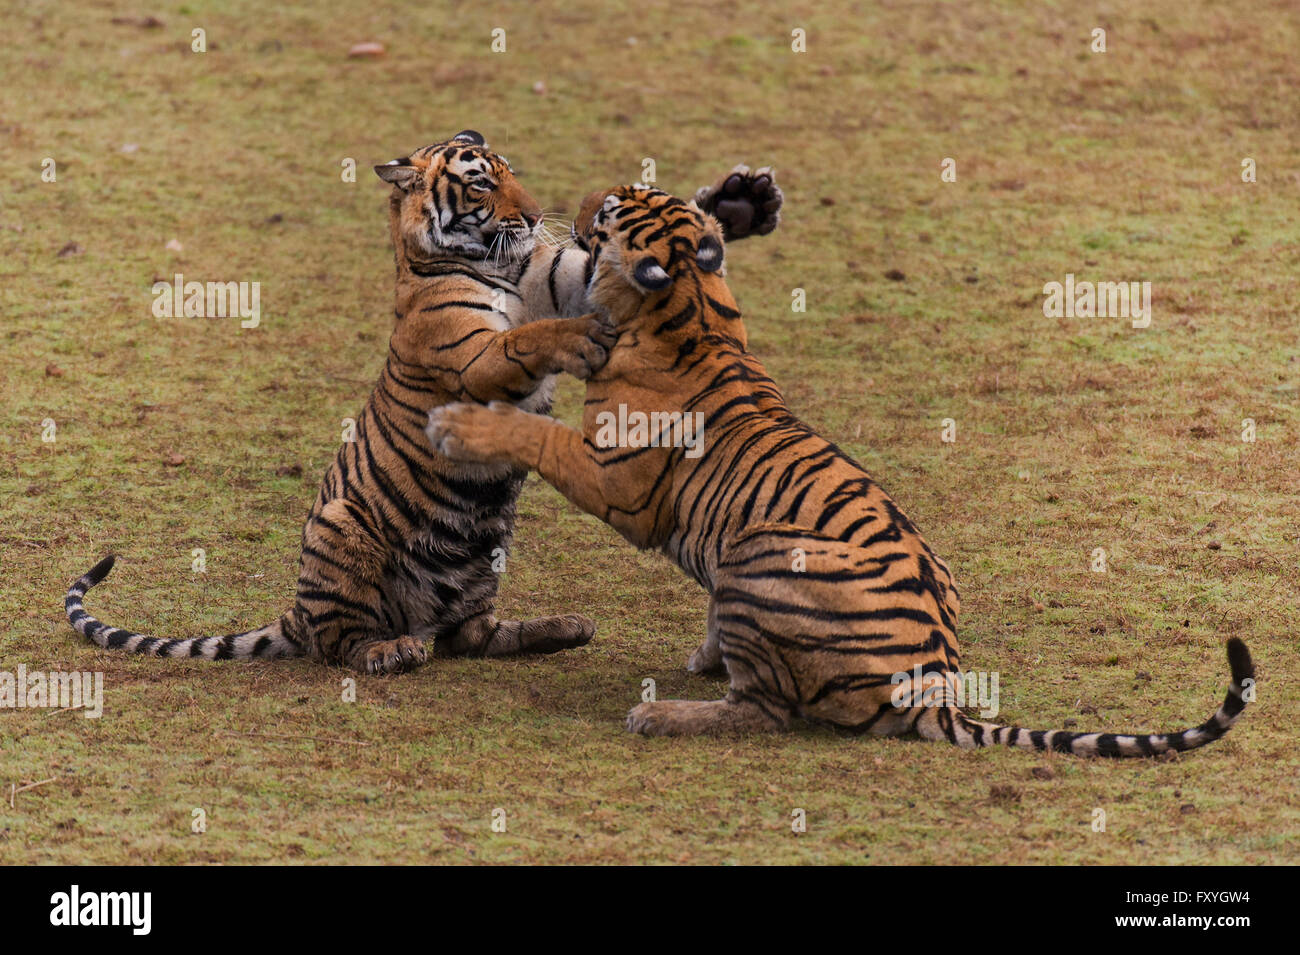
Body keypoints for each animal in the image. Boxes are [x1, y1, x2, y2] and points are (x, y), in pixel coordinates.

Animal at [65, 132, 780, 670]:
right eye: (483, 185)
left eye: (514, 175)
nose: (534, 214)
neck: (501, 265)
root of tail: (294, 612)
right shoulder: (471, 359)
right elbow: (524, 338)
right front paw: (581, 337)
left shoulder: (565, 277)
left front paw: (742, 203)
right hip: (340, 531)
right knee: (340, 643)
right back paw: (391, 651)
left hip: (487, 558)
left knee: (471, 636)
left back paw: (561, 628)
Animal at [421, 184, 1253, 753]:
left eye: (608, 217)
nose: (577, 201)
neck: (691, 303)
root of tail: (935, 683)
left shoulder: (613, 479)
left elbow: (538, 435)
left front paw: (460, 426)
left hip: (759, 552)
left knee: (762, 711)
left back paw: (660, 710)